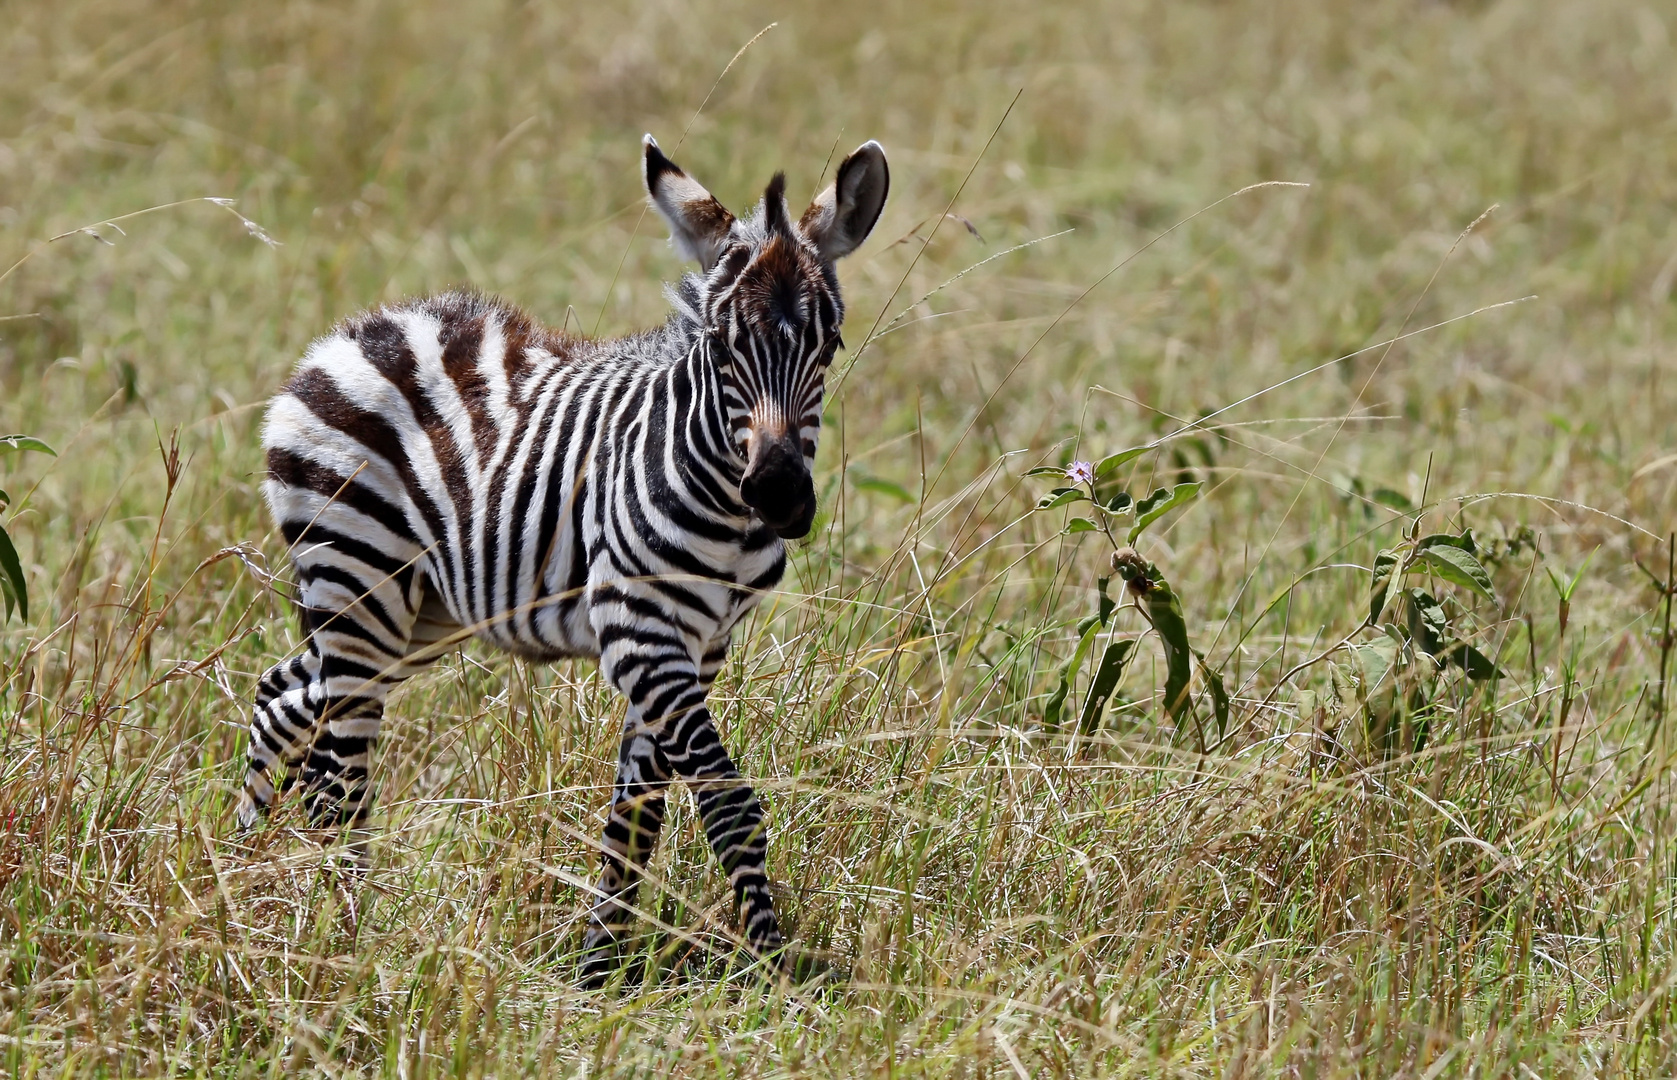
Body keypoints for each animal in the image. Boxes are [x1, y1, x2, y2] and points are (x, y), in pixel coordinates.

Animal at [243, 135, 892, 979]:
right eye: (719, 345)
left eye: (830, 344)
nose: (780, 496)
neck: (724, 507)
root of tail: (350, 334)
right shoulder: (638, 626)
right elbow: (727, 802)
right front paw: (770, 969)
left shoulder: (700, 643)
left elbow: (639, 809)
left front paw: (601, 966)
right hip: (359, 578)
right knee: (337, 770)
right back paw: (339, 936)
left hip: (416, 611)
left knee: (282, 697)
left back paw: (235, 874)